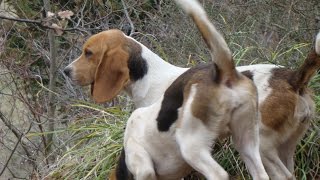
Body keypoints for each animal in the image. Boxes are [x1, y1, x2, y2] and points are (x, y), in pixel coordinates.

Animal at [63, 0, 320, 179]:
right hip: (277, 147)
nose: (65, 71)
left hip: (261, 145)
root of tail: (293, 78)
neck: (151, 79)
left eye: (88, 53)